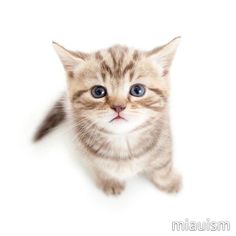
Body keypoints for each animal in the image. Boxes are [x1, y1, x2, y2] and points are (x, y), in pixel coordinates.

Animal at [34, 37, 183, 195]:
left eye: (137, 90)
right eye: (98, 91)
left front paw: (169, 181)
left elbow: (162, 165)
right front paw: (110, 181)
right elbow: (99, 168)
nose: (118, 107)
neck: (122, 141)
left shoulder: (164, 139)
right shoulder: (84, 150)